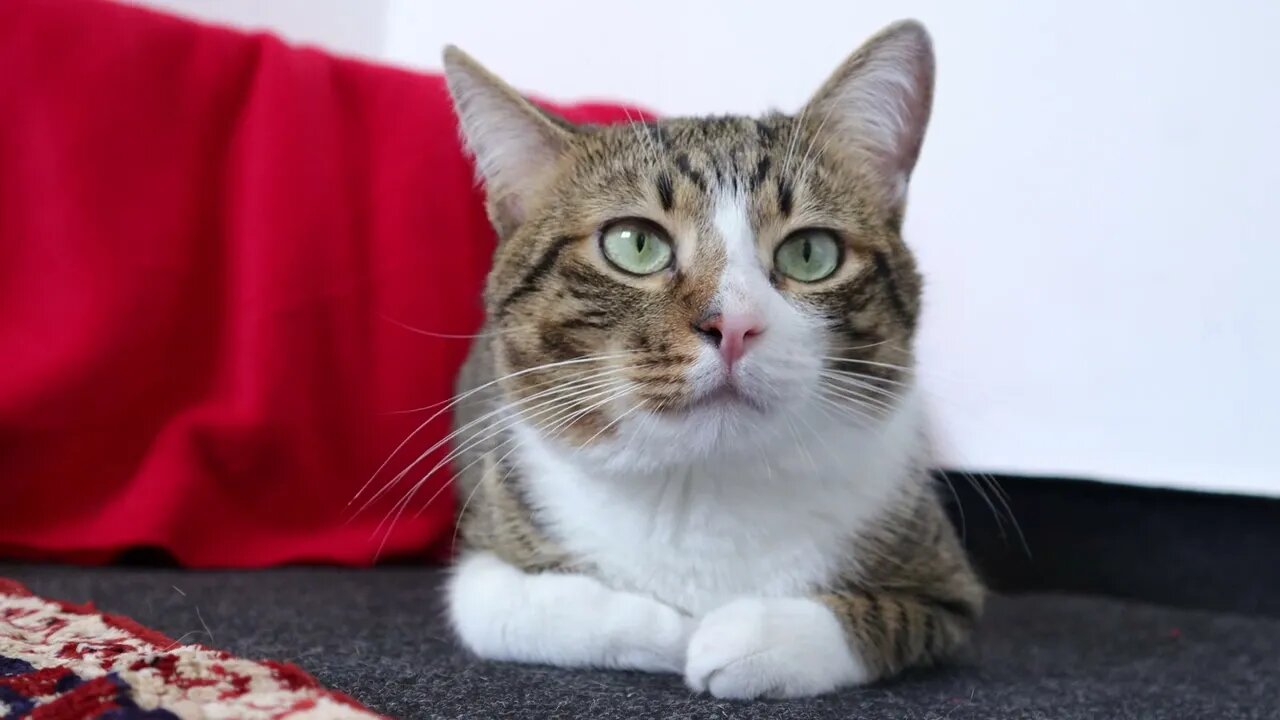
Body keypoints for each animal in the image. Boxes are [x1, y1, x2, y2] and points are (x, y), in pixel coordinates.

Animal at [437, 19, 977, 696]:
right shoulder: (489, 543)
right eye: (634, 244)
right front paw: (670, 631)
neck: (703, 483)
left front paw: (750, 638)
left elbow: (887, 616)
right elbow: (506, 606)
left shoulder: (946, 583)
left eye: (811, 253)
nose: (735, 325)